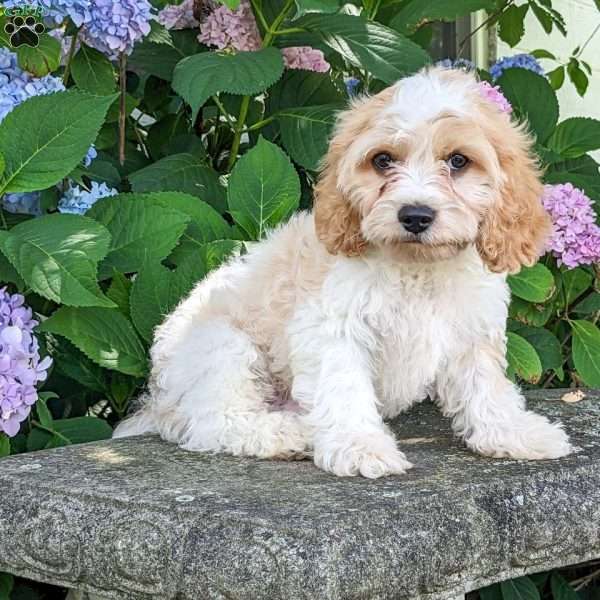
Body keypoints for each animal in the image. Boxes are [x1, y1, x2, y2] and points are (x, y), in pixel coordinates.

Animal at [116, 65, 572, 478]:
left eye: (458, 161)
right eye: (383, 160)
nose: (415, 215)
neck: (417, 269)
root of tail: (158, 401)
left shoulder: (472, 331)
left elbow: (486, 387)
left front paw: (515, 434)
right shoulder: (332, 329)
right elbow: (345, 388)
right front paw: (360, 447)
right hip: (220, 345)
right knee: (214, 422)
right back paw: (288, 433)